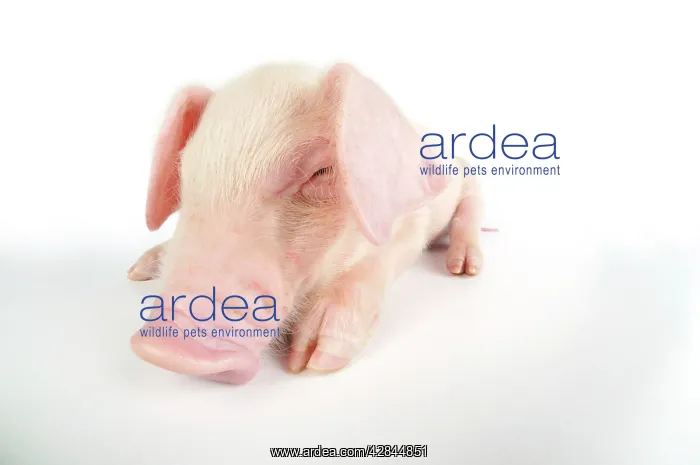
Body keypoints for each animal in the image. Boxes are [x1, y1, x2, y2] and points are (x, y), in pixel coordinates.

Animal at [127, 63, 487, 385]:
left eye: (321, 172)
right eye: (185, 168)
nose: (167, 346)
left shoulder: (412, 222)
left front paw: (311, 362)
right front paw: (139, 272)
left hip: (466, 178)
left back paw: (463, 268)